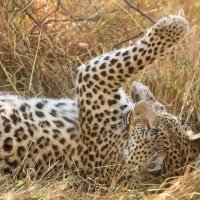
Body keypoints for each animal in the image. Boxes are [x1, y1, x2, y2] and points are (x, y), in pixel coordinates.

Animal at [0, 15, 198, 188]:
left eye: (148, 130)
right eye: (154, 125)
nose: (140, 107)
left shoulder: (91, 80)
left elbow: (130, 59)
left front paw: (175, 25)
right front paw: (142, 92)